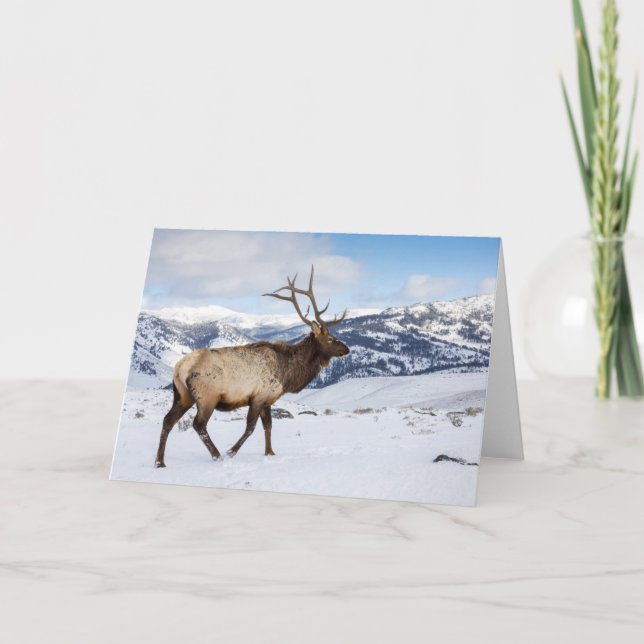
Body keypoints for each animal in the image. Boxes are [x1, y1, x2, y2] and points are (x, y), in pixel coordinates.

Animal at [154, 265, 350, 468]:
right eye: (330, 338)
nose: (347, 349)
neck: (287, 374)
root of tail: (179, 368)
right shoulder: (258, 396)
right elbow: (250, 427)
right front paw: (231, 451)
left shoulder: (267, 400)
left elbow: (268, 426)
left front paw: (270, 452)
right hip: (207, 396)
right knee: (198, 424)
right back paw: (217, 455)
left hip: (182, 395)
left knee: (168, 420)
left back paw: (160, 461)